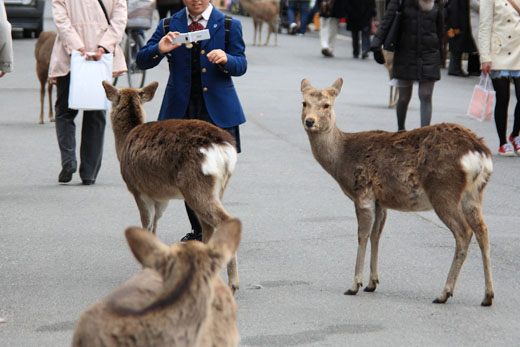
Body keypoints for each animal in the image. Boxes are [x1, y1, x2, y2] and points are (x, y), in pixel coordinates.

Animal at [102, 81, 241, 294]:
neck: (124, 142)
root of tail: (224, 147)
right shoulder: (160, 196)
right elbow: (155, 225)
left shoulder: (137, 188)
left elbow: (146, 223)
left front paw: (146, 269)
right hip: (218, 187)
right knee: (208, 227)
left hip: (195, 185)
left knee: (223, 221)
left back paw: (233, 284)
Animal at [298, 77, 494, 306]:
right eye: (304, 103)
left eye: (326, 105)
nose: (310, 121)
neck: (342, 158)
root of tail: (478, 151)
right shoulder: (381, 200)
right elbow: (376, 235)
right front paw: (372, 282)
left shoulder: (362, 192)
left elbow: (362, 235)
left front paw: (354, 284)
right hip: (474, 193)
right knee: (483, 230)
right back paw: (487, 295)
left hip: (443, 190)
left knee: (464, 232)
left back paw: (444, 293)